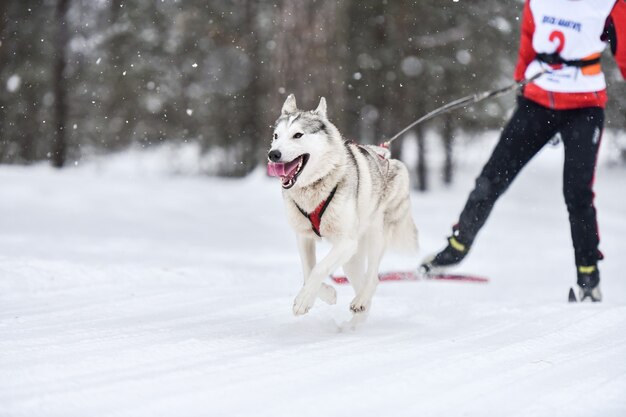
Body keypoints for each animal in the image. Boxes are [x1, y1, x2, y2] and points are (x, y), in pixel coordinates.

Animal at [266, 95, 416, 318]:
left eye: (298, 135)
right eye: (276, 136)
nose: (273, 154)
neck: (315, 185)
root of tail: (389, 158)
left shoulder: (346, 242)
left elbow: (319, 268)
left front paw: (303, 300)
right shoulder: (303, 237)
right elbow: (308, 271)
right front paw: (326, 294)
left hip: (374, 236)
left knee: (373, 277)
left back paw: (360, 301)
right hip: (351, 260)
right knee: (361, 282)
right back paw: (358, 313)